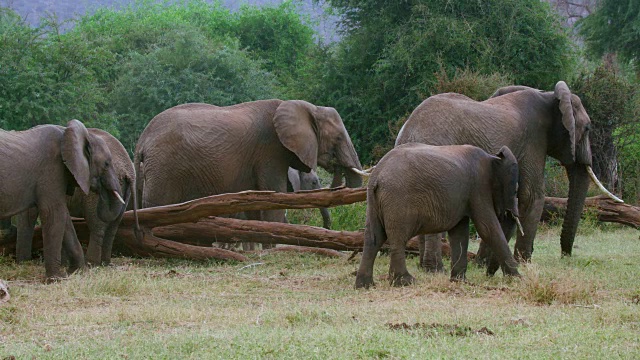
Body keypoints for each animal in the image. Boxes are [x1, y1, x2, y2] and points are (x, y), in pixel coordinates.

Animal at [0, 119, 124, 280]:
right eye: (107, 164)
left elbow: (64, 217)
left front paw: (77, 272)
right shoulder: (51, 169)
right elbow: (54, 213)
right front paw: (56, 279)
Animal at [134, 98, 364, 229]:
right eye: (338, 138)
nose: (337, 168)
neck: (307, 107)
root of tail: (142, 140)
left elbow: (257, 202)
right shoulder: (270, 151)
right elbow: (274, 196)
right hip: (164, 168)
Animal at [352, 143, 524, 290]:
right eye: (515, 190)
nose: (488, 274)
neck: (493, 158)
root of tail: (377, 175)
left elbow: (459, 233)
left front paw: (459, 281)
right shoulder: (479, 187)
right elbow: (487, 228)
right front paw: (518, 279)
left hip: (373, 200)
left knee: (373, 237)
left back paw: (364, 285)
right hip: (397, 199)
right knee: (397, 238)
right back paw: (406, 282)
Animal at [396, 80, 620, 268]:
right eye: (588, 128)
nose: (565, 256)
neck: (549, 96)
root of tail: (410, 129)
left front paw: (482, 264)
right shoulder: (534, 141)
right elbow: (531, 195)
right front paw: (524, 263)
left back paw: (425, 267)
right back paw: (434, 269)